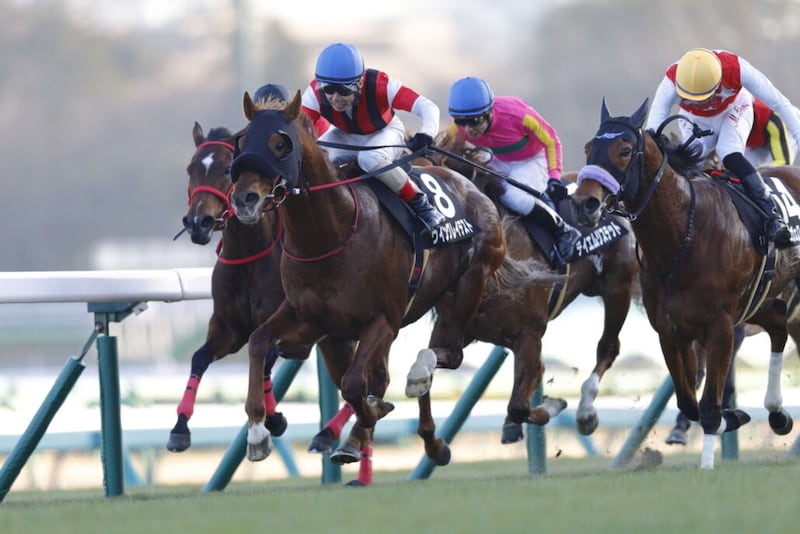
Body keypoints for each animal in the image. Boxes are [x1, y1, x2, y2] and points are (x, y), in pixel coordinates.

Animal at [228, 90, 540, 469]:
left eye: (279, 143)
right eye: (241, 140)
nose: (244, 199)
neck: (332, 233)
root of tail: (469, 183)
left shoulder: (383, 321)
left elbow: (353, 385)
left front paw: (371, 414)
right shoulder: (309, 317)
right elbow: (259, 342)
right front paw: (258, 434)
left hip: (471, 280)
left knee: (448, 354)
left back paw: (419, 378)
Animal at [429, 131, 640, 440]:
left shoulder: (529, 332)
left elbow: (519, 405)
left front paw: (551, 406)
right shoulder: (460, 329)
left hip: (618, 288)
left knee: (609, 346)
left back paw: (587, 413)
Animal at [571, 98, 800, 468]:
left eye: (624, 150)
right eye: (589, 148)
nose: (583, 204)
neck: (683, 235)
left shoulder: (721, 327)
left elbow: (707, 405)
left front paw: (707, 462)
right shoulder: (671, 330)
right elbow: (689, 402)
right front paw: (733, 417)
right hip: (762, 301)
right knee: (779, 327)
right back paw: (777, 412)